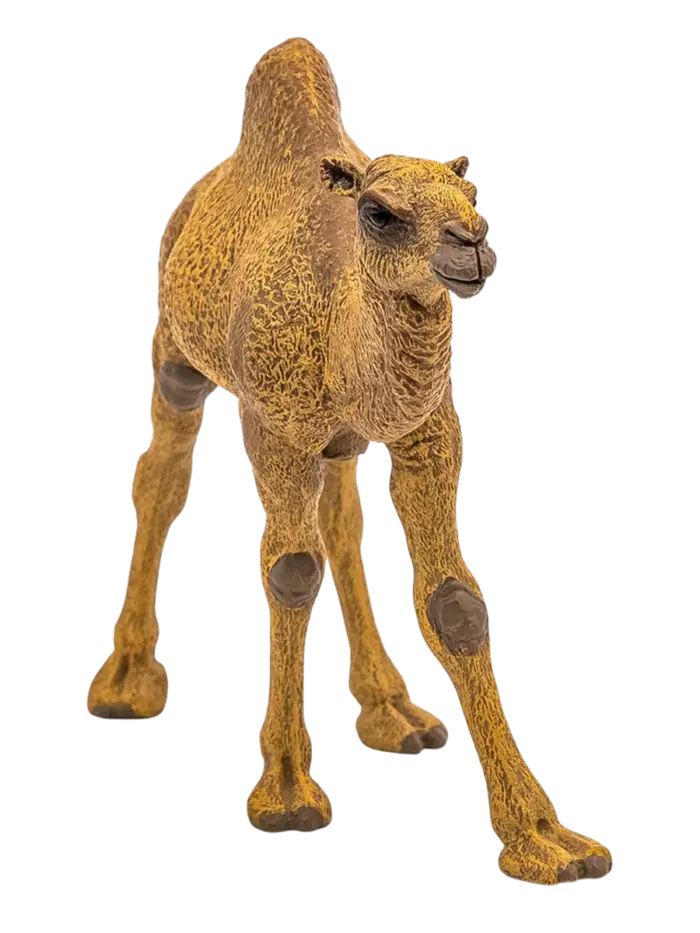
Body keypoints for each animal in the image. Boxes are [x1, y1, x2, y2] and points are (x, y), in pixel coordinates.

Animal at [87, 36, 613, 885]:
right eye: (380, 212)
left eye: (473, 200)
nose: (471, 246)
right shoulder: (275, 425)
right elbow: (289, 569)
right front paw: (287, 793)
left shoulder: (426, 431)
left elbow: (454, 601)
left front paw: (547, 838)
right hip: (176, 346)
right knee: (162, 480)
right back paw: (126, 682)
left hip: (327, 444)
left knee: (340, 522)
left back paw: (393, 711)